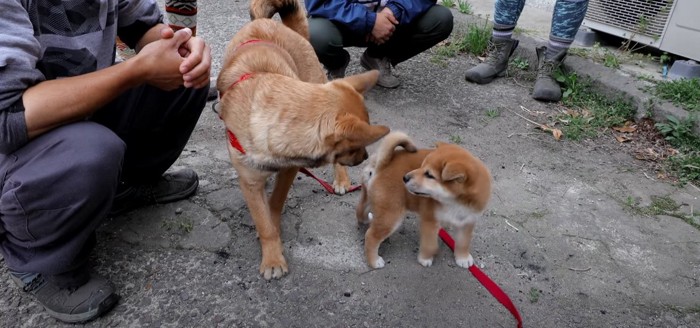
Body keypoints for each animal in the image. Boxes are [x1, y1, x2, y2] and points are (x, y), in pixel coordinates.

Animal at [217, 0, 388, 280]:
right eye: (355, 146)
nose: (364, 157)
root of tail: (268, 23)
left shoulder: (289, 169)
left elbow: (275, 205)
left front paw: (274, 231)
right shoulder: (250, 181)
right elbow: (263, 220)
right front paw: (272, 255)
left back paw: (341, 180)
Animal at [356, 133, 492, 270]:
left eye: (429, 175)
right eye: (421, 166)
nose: (405, 177)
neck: (455, 202)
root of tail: (382, 164)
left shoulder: (467, 222)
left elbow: (463, 243)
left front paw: (462, 258)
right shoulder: (430, 220)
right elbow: (430, 244)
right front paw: (425, 258)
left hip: (371, 199)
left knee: (360, 212)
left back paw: (367, 220)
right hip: (391, 215)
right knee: (371, 236)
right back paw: (374, 261)